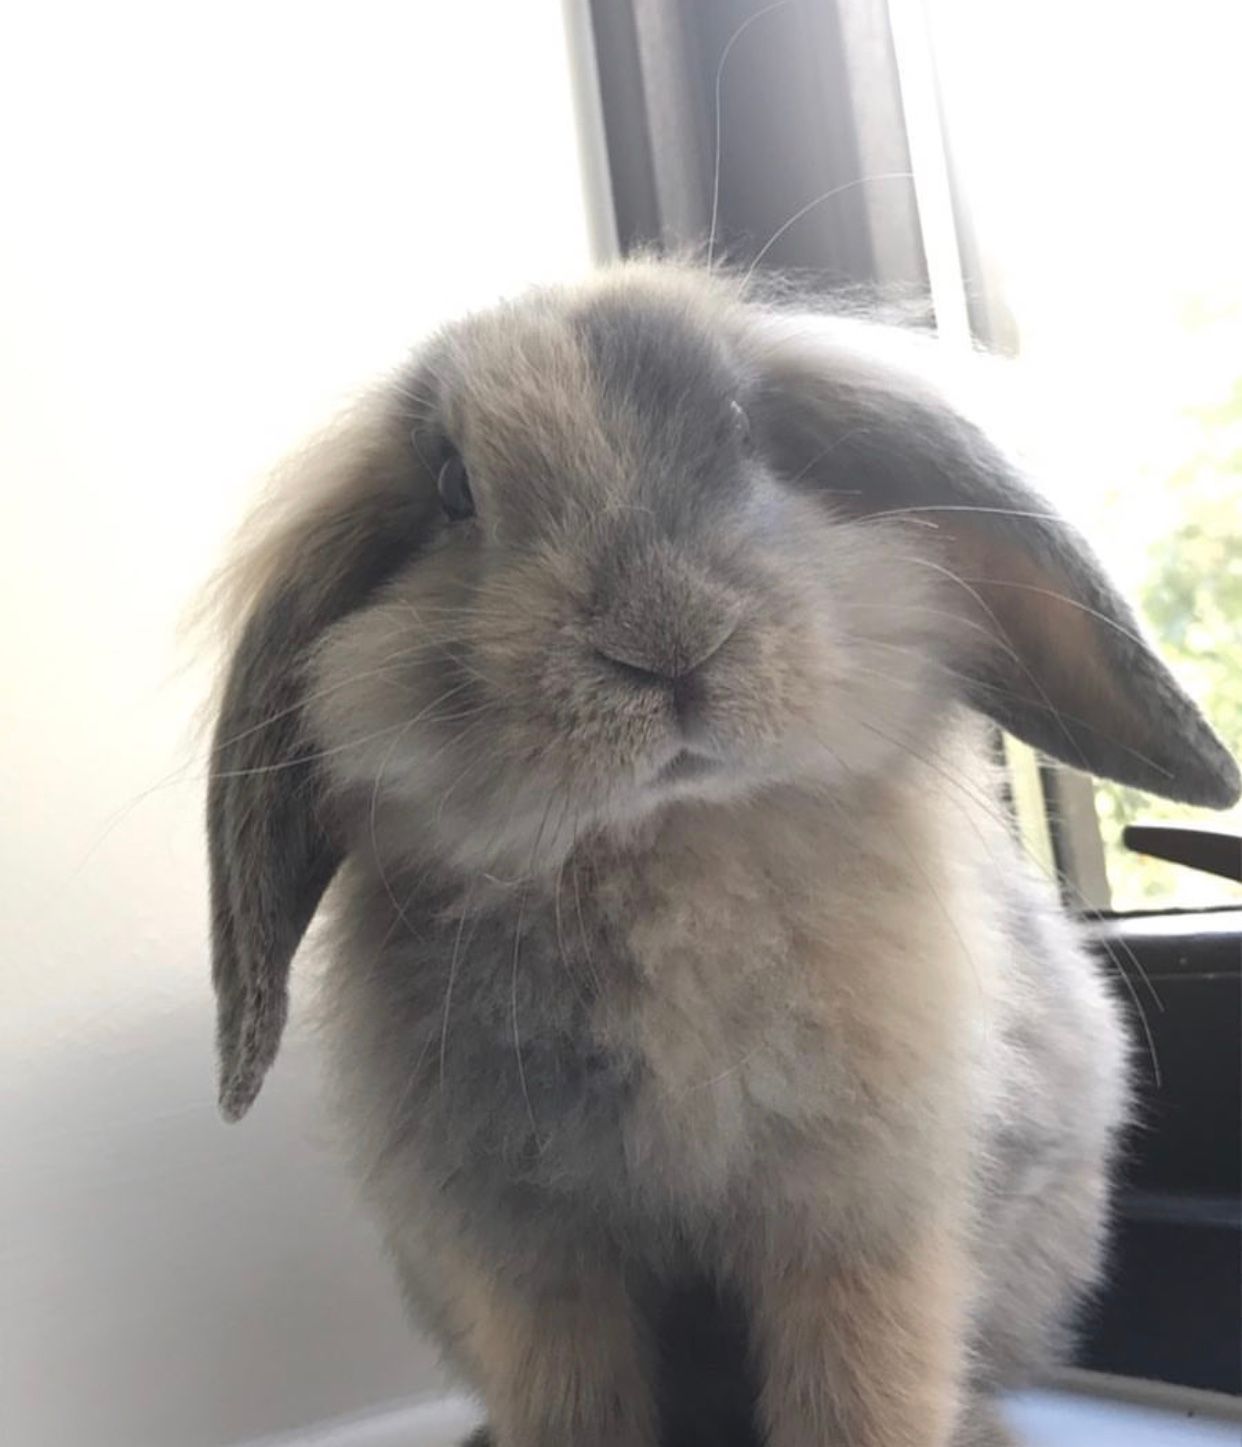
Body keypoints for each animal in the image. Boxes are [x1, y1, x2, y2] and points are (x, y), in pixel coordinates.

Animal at [205, 258, 1239, 1447]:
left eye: (747, 430)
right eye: (453, 488)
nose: (664, 641)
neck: (673, 842)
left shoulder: (862, 1224)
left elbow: (862, 1387)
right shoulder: (532, 1260)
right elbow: (573, 1400)